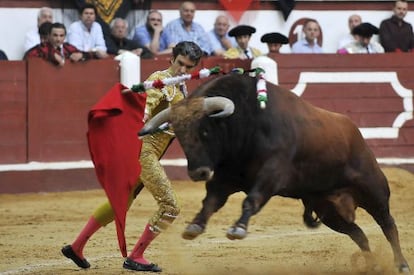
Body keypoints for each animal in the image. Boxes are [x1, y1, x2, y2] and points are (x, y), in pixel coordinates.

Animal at [140, 74, 410, 274]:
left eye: (205, 130)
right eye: (180, 136)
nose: (198, 172)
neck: (246, 122)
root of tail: (357, 135)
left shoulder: (271, 174)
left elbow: (251, 200)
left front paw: (238, 229)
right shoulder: (225, 178)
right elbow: (211, 202)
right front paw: (195, 226)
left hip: (374, 191)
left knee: (388, 226)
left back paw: (402, 265)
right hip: (329, 211)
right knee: (359, 234)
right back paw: (373, 265)